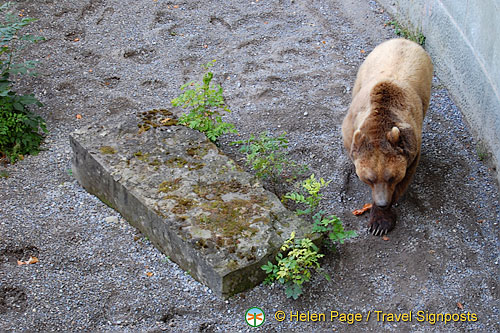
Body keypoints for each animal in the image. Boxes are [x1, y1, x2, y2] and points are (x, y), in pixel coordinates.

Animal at [342, 38, 432, 233]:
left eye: (391, 177)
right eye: (369, 178)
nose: (382, 202)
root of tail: (404, 40)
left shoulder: (411, 147)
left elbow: (403, 180)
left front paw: (380, 222)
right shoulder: (350, 129)